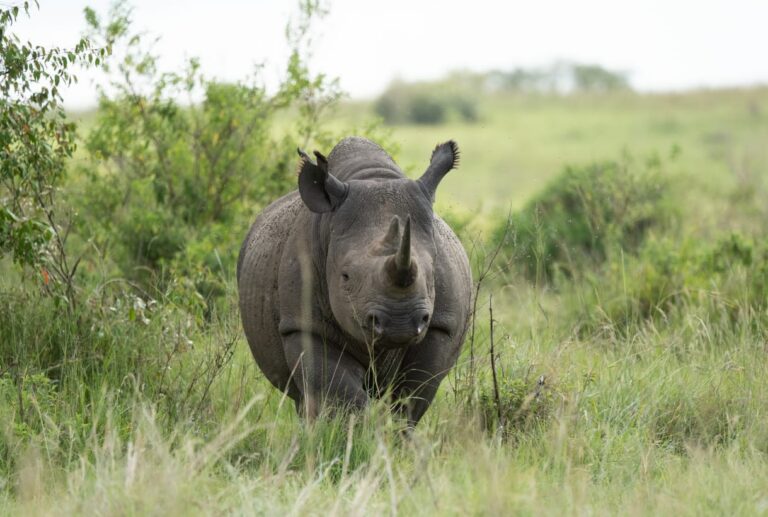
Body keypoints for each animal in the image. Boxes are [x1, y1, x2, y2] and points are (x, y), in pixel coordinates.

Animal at [237, 136, 472, 426]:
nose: (400, 323)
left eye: (432, 273)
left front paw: (394, 434)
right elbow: (342, 397)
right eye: (346, 276)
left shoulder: (439, 326)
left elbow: (409, 398)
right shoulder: (304, 324)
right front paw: (358, 433)